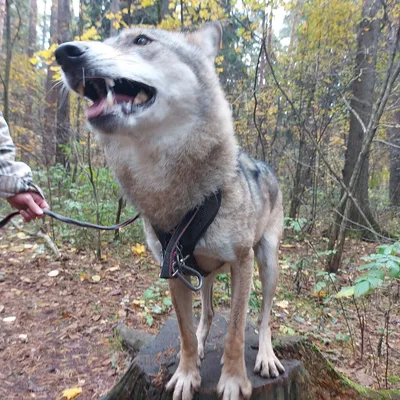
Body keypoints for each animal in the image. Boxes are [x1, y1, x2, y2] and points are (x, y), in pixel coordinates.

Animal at [56, 22, 284, 400]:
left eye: (141, 40)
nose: (63, 53)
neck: (171, 192)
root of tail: (267, 166)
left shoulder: (242, 262)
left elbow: (237, 331)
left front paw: (234, 380)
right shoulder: (173, 269)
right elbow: (185, 332)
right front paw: (187, 374)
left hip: (266, 262)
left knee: (264, 317)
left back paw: (265, 355)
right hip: (203, 273)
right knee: (208, 312)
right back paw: (206, 341)